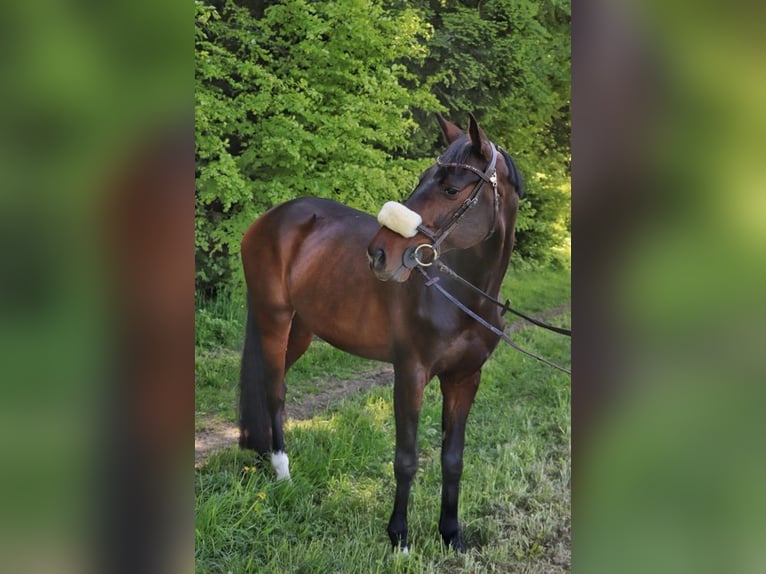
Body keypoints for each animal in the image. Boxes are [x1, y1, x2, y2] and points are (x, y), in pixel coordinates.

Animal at [238, 113, 524, 553]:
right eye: (423, 179)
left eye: (451, 188)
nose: (378, 254)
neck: (462, 296)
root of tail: (270, 219)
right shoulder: (410, 374)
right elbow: (406, 458)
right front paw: (400, 538)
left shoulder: (464, 379)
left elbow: (453, 458)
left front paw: (451, 535)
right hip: (274, 320)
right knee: (274, 390)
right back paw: (282, 470)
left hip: (301, 329)